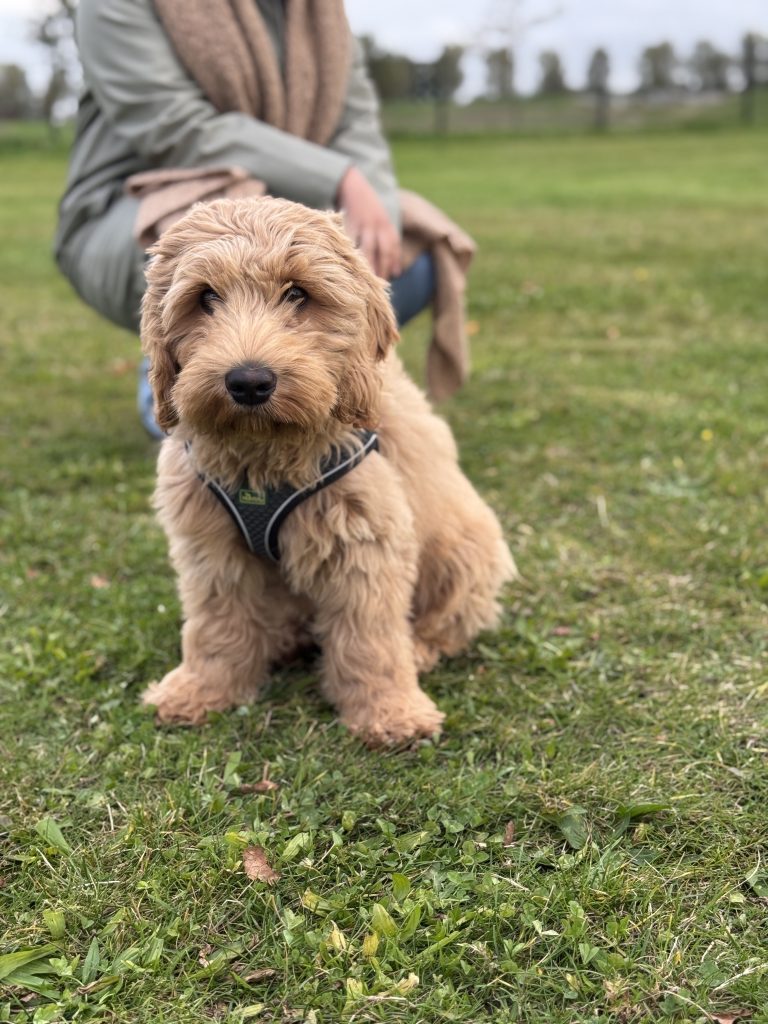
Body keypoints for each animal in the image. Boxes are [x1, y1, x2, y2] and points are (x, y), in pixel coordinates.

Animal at [143, 197, 518, 745]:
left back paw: (419, 650)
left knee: (445, 621)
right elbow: (216, 622)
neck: (265, 453)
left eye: (298, 293)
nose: (249, 382)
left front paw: (390, 712)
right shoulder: (211, 544)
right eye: (205, 297)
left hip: (464, 549)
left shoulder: (364, 539)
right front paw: (201, 690)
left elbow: (370, 636)